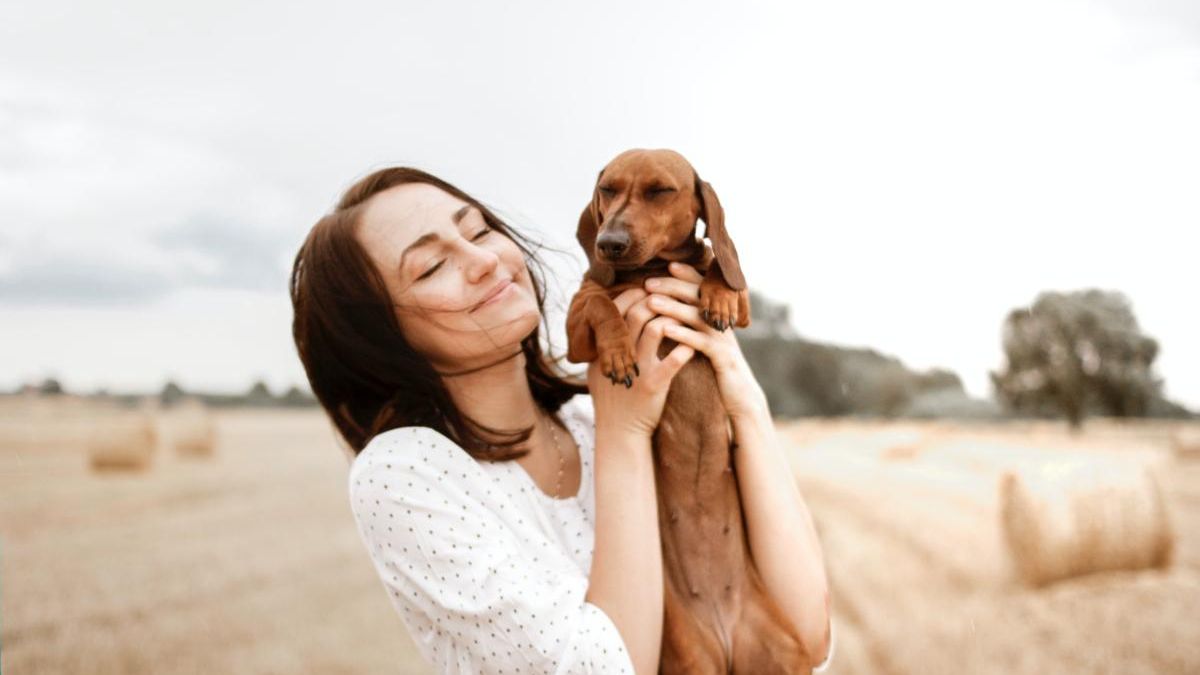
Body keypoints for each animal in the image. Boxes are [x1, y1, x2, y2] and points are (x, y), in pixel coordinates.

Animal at [564, 148, 816, 672]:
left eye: (660, 190)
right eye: (607, 190)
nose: (608, 243)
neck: (650, 268)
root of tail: (726, 636)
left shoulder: (745, 311)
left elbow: (721, 267)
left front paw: (716, 295)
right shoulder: (576, 335)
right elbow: (600, 302)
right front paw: (619, 352)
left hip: (786, 656)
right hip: (689, 655)